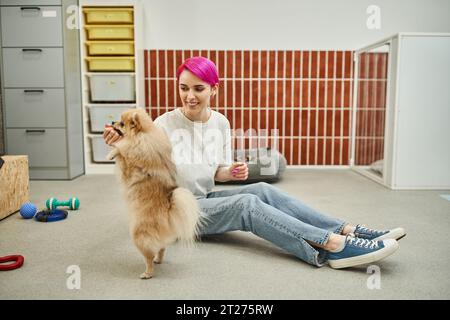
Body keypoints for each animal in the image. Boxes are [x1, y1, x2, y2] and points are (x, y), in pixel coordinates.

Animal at [106, 109, 201, 278]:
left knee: (148, 256)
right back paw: (158, 260)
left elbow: (121, 150)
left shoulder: (129, 162)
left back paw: (147, 273)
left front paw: (112, 153)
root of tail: (169, 208)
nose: (112, 122)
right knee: (162, 248)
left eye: (122, 124)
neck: (142, 136)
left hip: (138, 235)